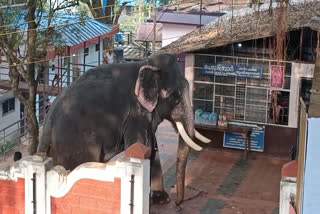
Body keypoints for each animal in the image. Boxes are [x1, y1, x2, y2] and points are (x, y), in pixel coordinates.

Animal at [37, 53, 211, 206]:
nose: (177, 203)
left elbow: (151, 146)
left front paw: (161, 200)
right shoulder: (134, 113)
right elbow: (141, 145)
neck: (145, 64)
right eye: (175, 96)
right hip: (77, 144)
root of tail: (48, 121)